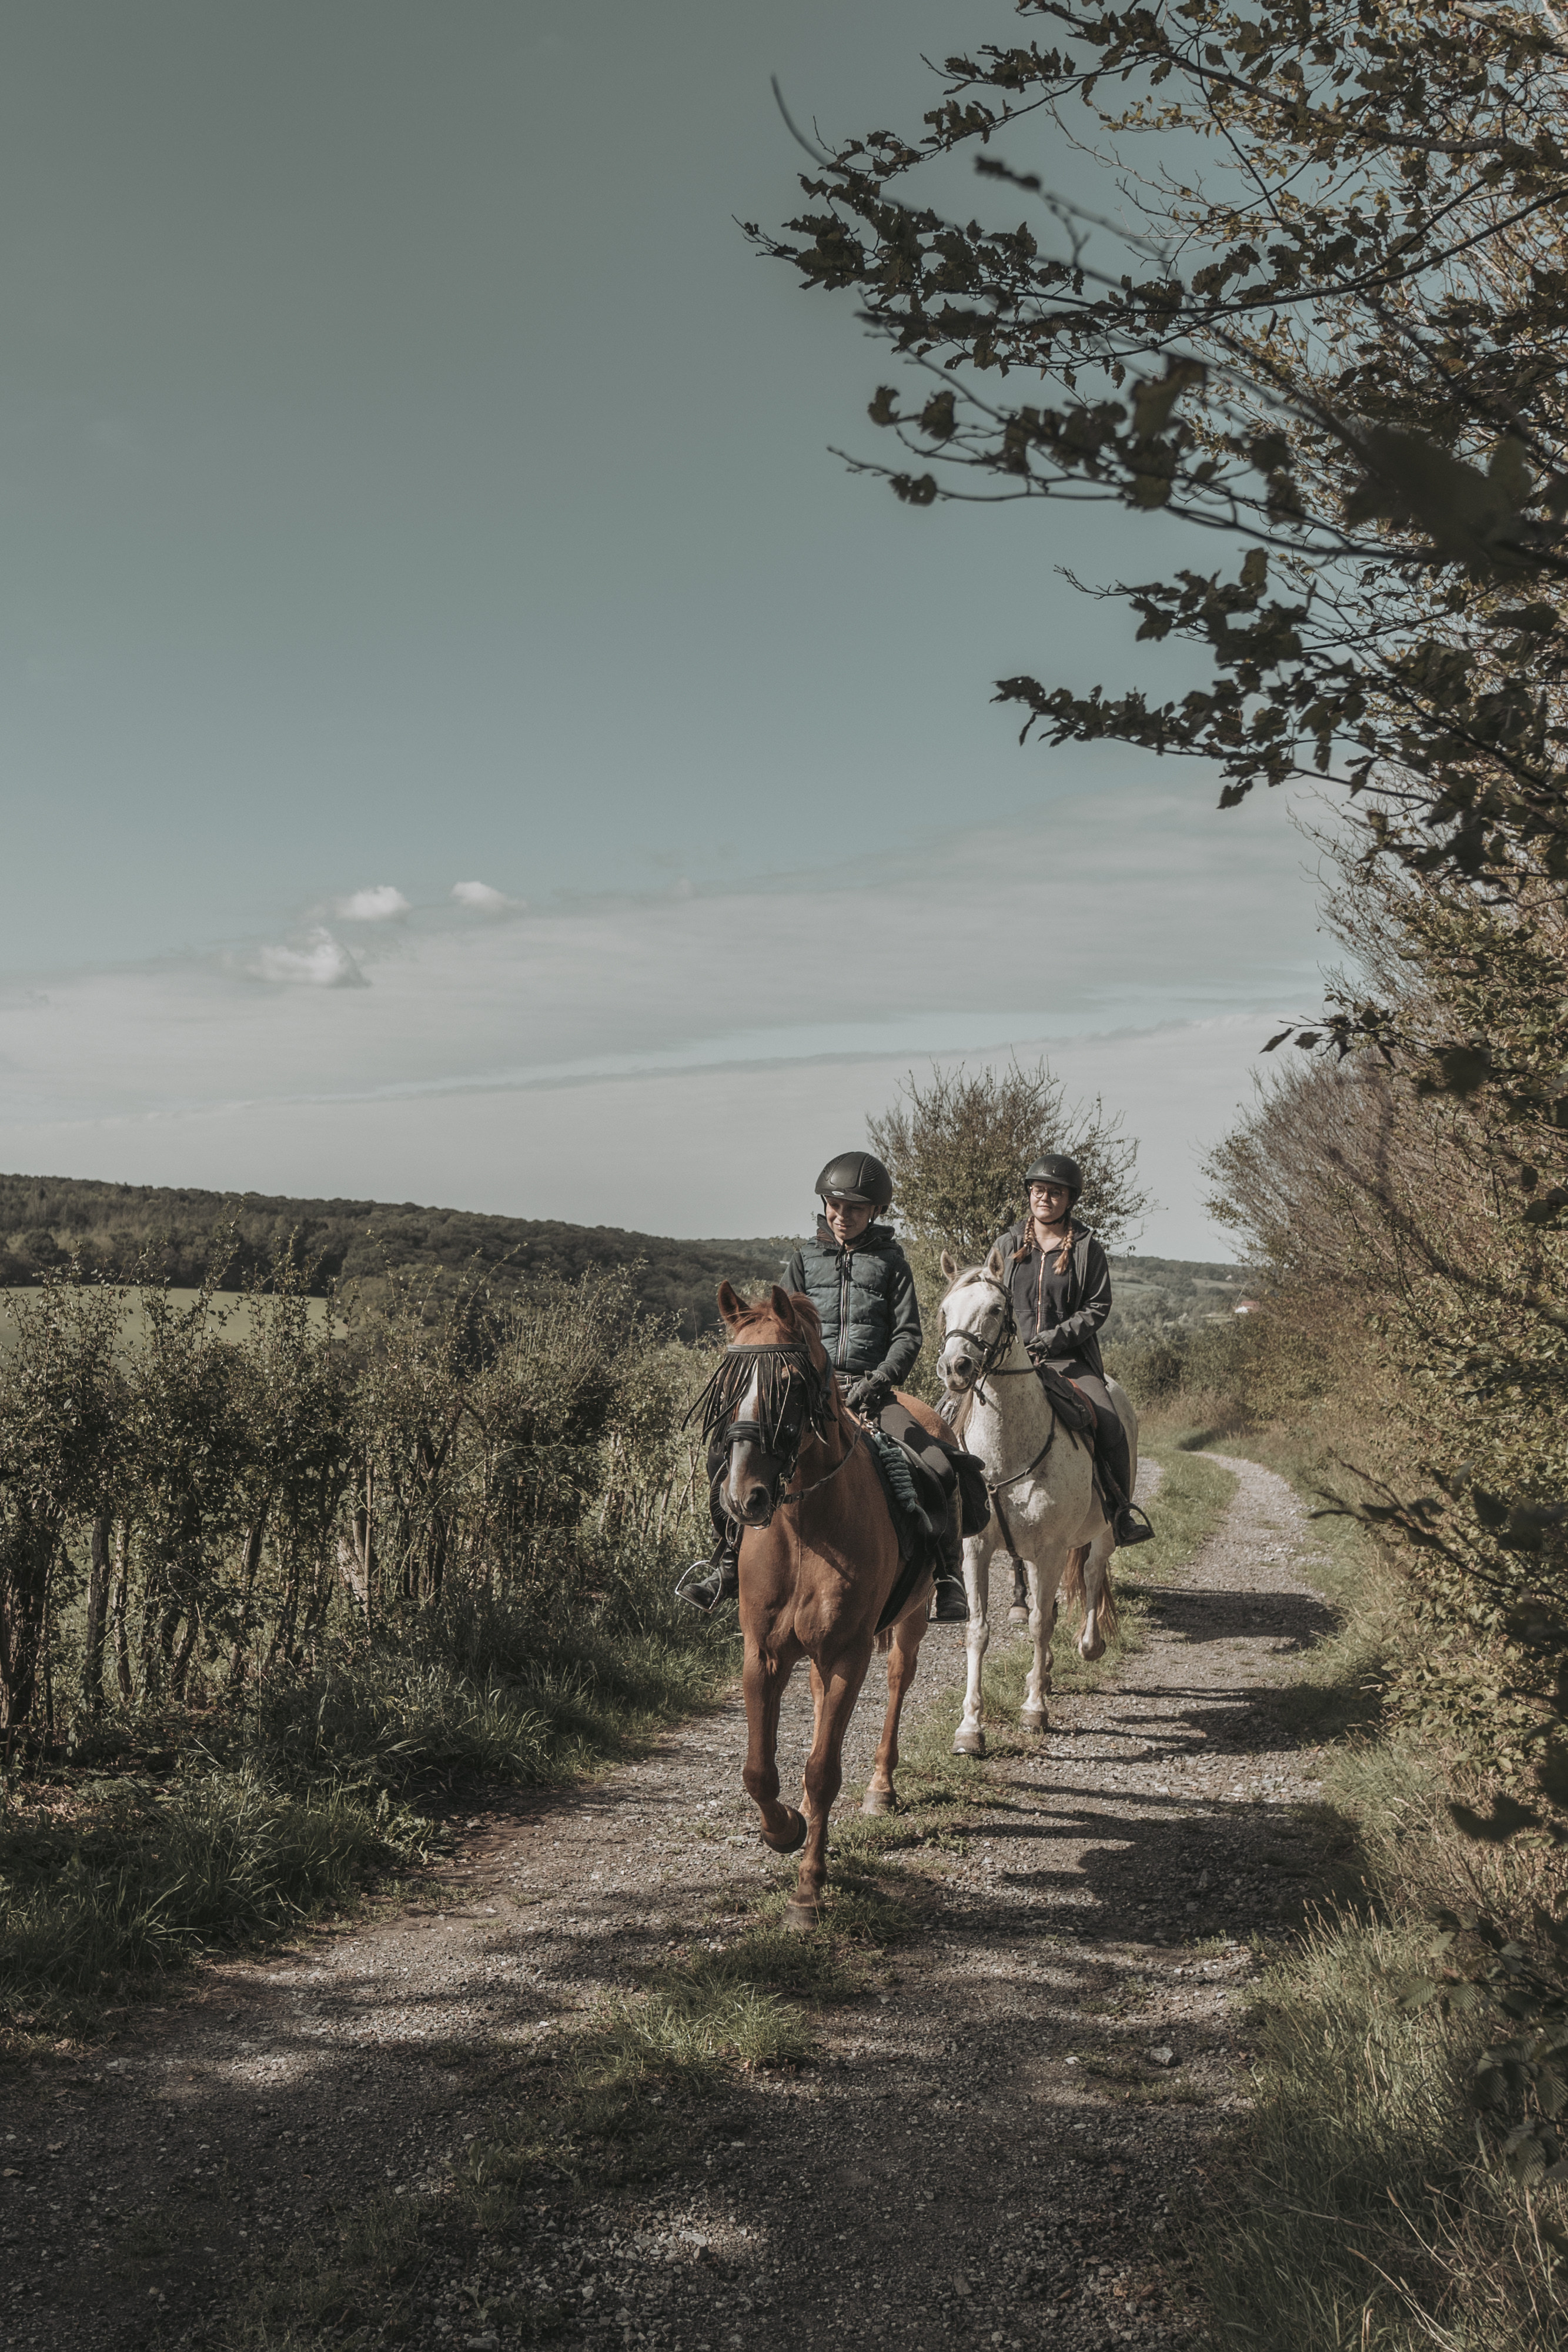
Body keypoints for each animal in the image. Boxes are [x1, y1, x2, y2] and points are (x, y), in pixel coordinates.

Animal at [710, 1289, 945, 1929]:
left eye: (790, 1382)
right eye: (726, 1383)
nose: (743, 1498)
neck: (805, 1531)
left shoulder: (847, 1655)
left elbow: (822, 1771)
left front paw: (808, 1891)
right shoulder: (762, 1654)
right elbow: (759, 1770)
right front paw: (785, 1829)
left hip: (910, 1621)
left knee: (897, 1682)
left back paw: (881, 1789)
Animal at [931, 1261, 1142, 1759]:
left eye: (995, 1308)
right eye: (945, 1308)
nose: (955, 1367)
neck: (1006, 1450)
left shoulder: (1049, 1551)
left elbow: (1042, 1623)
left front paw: (1033, 1710)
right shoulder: (976, 1550)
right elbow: (979, 1630)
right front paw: (969, 1728)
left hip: (1103, 1533)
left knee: (1090, 1577)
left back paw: (1087, 1647)